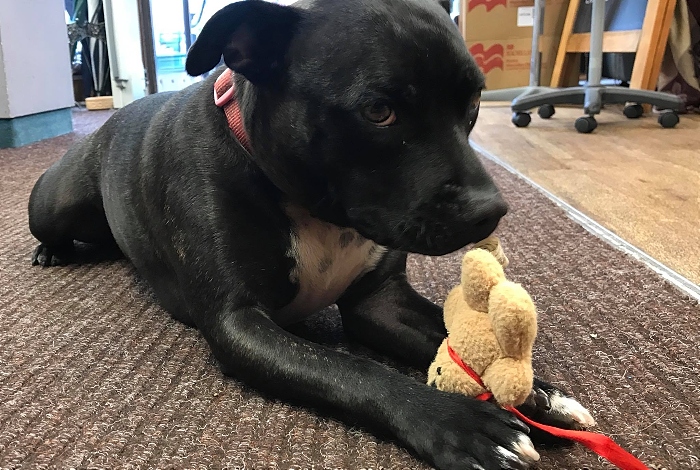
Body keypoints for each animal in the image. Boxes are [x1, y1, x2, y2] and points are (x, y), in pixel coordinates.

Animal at [30, 1, 592, 468]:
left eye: (474, 101)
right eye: (379, 111)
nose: (491, 210)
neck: (319, 212)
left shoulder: (379, 303)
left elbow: (445, 334)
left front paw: (541, 394)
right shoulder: (240, 323)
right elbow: (355, 371)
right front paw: (459, 423)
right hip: (53, 204)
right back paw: (50, 251)